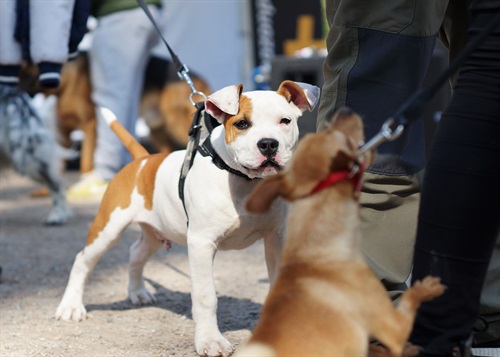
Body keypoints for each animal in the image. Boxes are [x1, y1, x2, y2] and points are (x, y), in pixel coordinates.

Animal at [55, 80, 320, 356]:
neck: (245, 181)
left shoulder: (275, 239)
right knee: (83, 260)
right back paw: (71, 306)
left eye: (285, 121)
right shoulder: (201, 244)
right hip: (108, 229)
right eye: (242, 124)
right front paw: (210, 341)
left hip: (155, 232)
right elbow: (205, 297)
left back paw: (137, 292)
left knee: (135, 252)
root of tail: (143, 159)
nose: (268, 144)